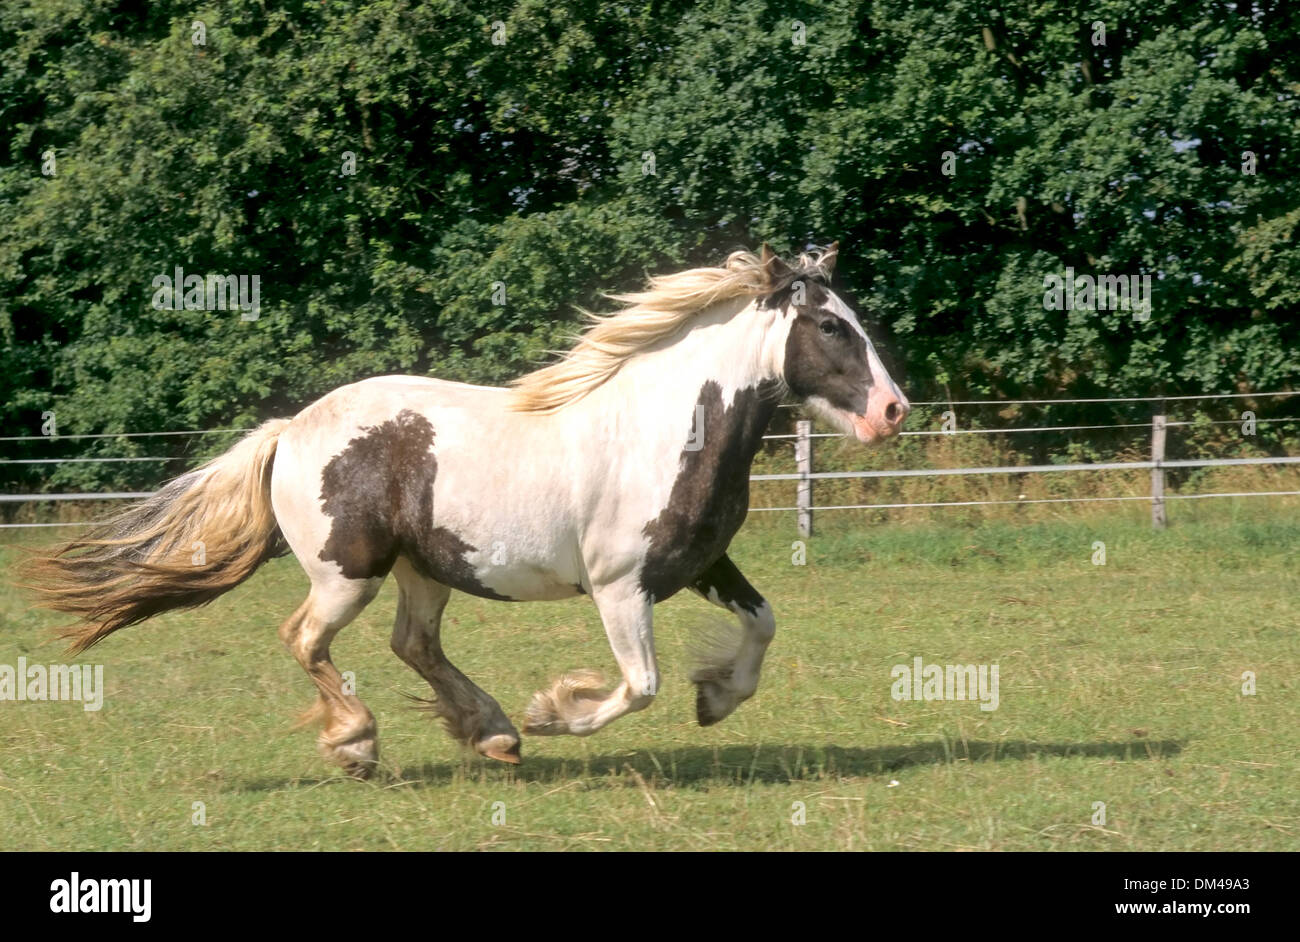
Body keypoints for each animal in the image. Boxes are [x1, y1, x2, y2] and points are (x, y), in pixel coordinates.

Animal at [25, 240, 909, 769]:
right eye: (832, 327)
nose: (893, 411)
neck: (662, 431)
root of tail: (290, 430)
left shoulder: (700, 562)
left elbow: (763, 624)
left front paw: (717, 699)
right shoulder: (620, 587)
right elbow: (639, 686)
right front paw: (555, 711)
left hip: (425, 569)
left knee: (413, 643)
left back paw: (492, 734)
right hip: (348, 574)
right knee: (305, 637)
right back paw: (361, 743)